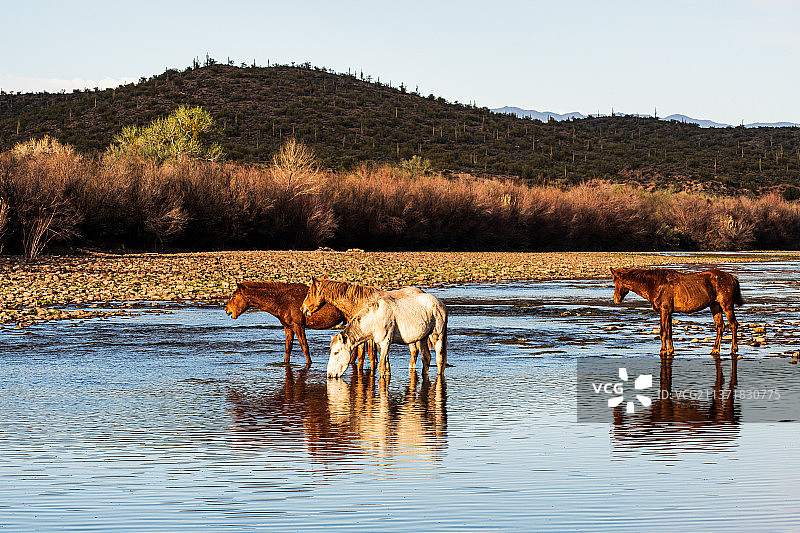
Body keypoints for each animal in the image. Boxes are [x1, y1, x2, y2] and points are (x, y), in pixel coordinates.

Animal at [610, 267, 742, 359]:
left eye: (616, 282)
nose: (616, 299)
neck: (654, 284)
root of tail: (732, 277)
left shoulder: (664, 311)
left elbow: (663, 332)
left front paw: (662, 351)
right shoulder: (668, 312)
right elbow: (669, 331)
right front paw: (670, 350)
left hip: (727, 306)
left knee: (733, 325)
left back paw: (733, 350)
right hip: (715, 306)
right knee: (720, 326)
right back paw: (715, 350)